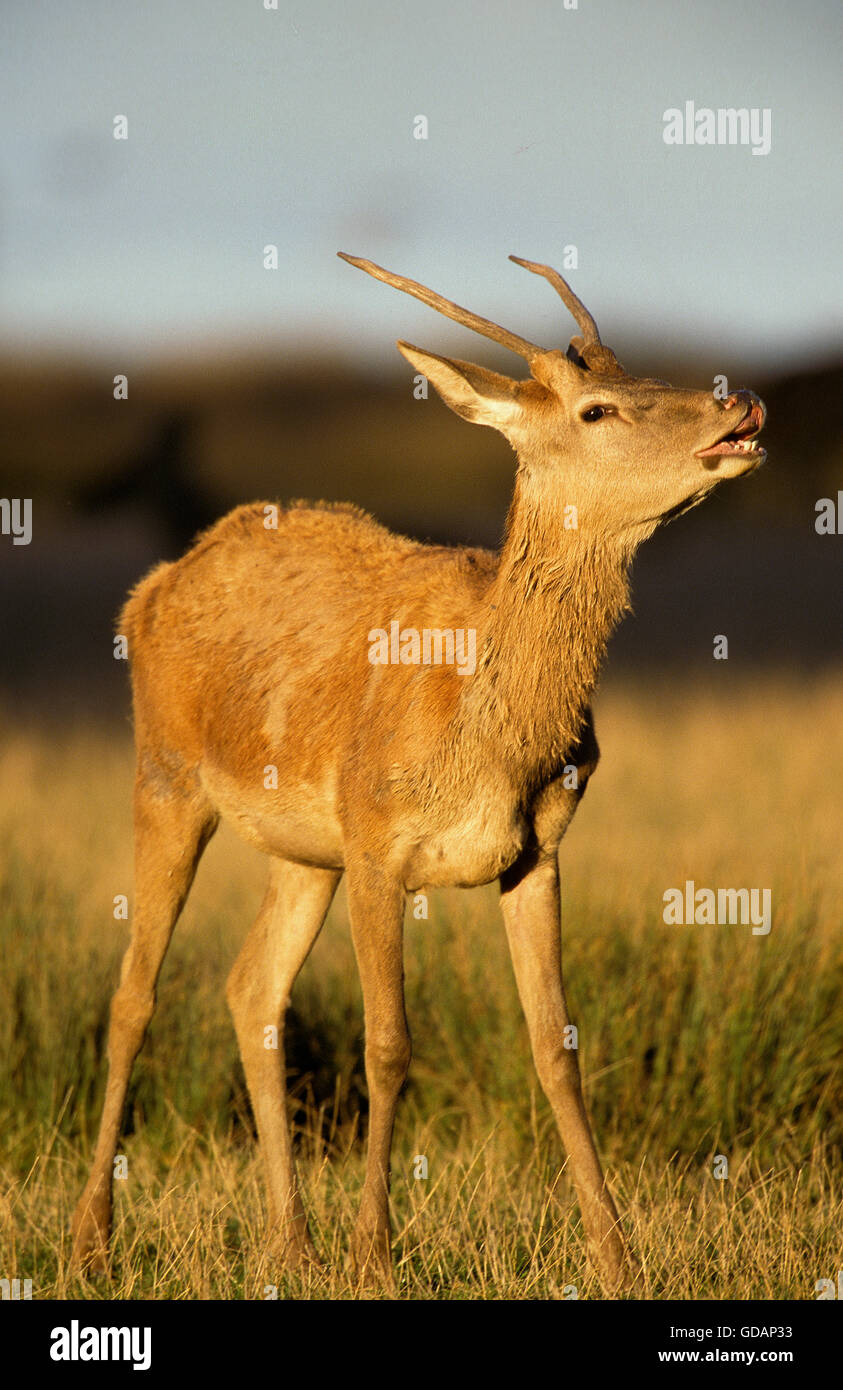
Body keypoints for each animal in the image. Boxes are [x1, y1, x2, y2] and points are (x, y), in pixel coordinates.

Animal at [70, 251, 766, 1293]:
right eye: (597, 407)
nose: (742, 405)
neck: (485, 730)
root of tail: (152, 587)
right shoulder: (378, 842)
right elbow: (387, 1046)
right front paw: (375, 1257)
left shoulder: (536, 852)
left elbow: (555, 1047)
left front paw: (616, 1257)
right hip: (167, 777)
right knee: (132, 997)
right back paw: (93, 1240)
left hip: (300, 852)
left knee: (250, 988)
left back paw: (290, 1242)